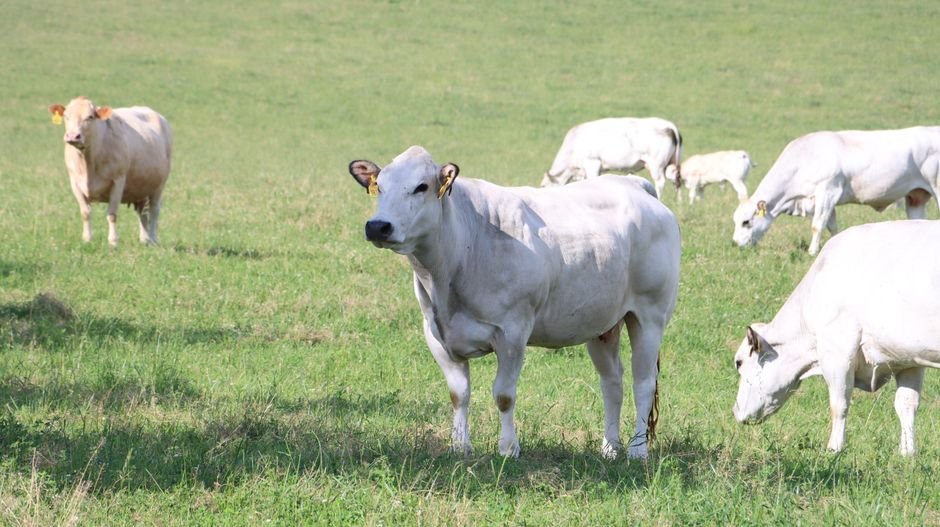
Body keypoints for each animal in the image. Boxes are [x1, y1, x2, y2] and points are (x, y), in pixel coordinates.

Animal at [48, 96, 172, 246]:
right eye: (66, 116)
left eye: (90, 117)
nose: (73, 136)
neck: (88, 162)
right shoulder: (75, 183)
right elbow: (85, 213)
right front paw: (87, 239)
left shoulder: (118, 181)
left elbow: (112, 215)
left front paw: (113, 242)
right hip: (141, 186)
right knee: (142, 212)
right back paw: (144, 239)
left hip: (159, 185)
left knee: (154, 210)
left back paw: (153, 239)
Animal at [349, 146, 681, 460]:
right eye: (379, 186)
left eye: (422, 186)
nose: (378, 226)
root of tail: (634, 184)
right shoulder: (436, 334)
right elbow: (459, 394)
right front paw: (459, 446)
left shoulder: (512, 332)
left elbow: (504, 395)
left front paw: (508, 448)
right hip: (602, 324)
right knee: (612, 383)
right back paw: (610, 448)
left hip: (649, 317)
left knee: (643, 384)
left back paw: (637, 450)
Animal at [539, 117, 682, 200]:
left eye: (543, 186)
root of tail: (668, 125)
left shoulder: (592, 163)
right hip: (670, 164)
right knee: (676, 179)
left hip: (656, 164)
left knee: (660, 182)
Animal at [732, 126, 940, 255]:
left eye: (746, 222)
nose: (735, 244)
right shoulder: (825, 200)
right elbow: (832, 226)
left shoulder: (827, 190)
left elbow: (817, 225)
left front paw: (812, 251)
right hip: (916, 197)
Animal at [732, 220, 940, 456]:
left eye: (739, 362)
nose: (735, 411)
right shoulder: (908, 359)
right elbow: (907, 404)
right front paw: (907, 453)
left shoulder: (837, 352)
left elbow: (839, 404)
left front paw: (834, 449)